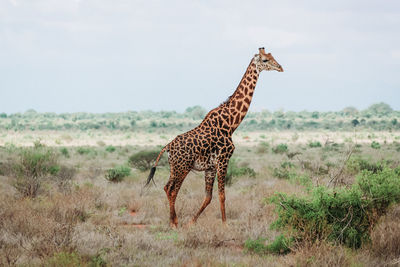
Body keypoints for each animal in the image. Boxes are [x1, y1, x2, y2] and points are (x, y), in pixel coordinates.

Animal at [145, 47, 282, 227]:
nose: (280, 67)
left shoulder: (210, 167)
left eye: (272, 56)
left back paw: (173, 220)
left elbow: (208, 196)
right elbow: (222, 195)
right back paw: (174, 222)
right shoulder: (224, 159)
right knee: (172, 189)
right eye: (265, 60)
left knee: (167, 188)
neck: (231, 123)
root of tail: (167, 147)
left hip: (174, 167)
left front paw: (192, 221)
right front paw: (225, 224)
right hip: (183, 167)